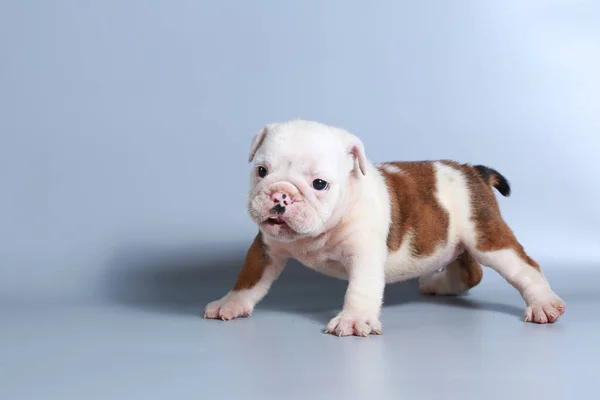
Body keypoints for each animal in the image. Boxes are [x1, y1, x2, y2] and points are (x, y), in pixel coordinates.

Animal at [204, 120, 564, 336]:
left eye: (319, 184)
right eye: (261, 171)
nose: (280, 195)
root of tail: (473, 171)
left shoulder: (363, 254)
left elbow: (360, 289)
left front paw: (352, 320)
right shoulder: (265, 249)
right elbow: (248, 279)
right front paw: (230, 303)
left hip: (486, 237)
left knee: (524, 267)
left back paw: (543, 304)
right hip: (455, 238)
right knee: (469, 270)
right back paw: (441, 284)